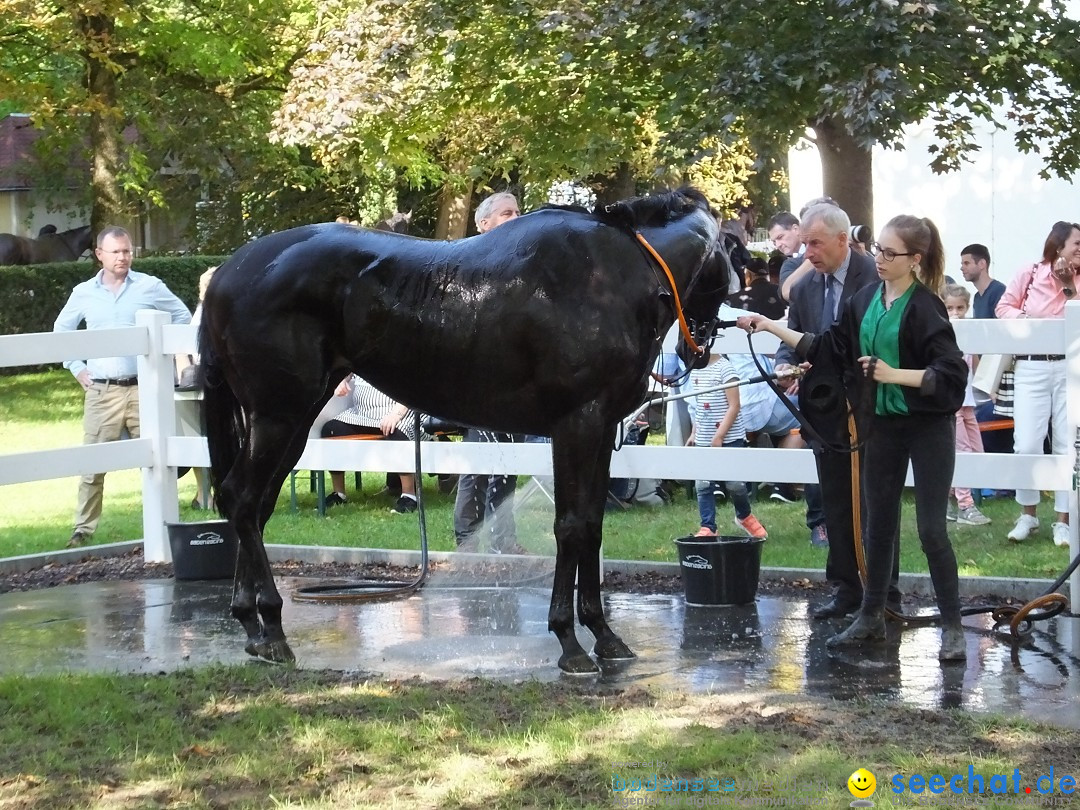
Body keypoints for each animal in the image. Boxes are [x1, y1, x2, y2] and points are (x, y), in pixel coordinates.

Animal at [200, 186, 734, 673]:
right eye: (732, 266)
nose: (697, 346)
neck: (612, 272)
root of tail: (228, 272)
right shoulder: (578, 424)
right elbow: (571, 525)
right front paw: (570, 640)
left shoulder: (601, 430)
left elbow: (592, 526)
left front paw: (603, 634)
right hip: (279, 416)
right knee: (242, 499)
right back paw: (272, 629)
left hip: (288, 421)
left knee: (253, 506)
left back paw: (252, 625)